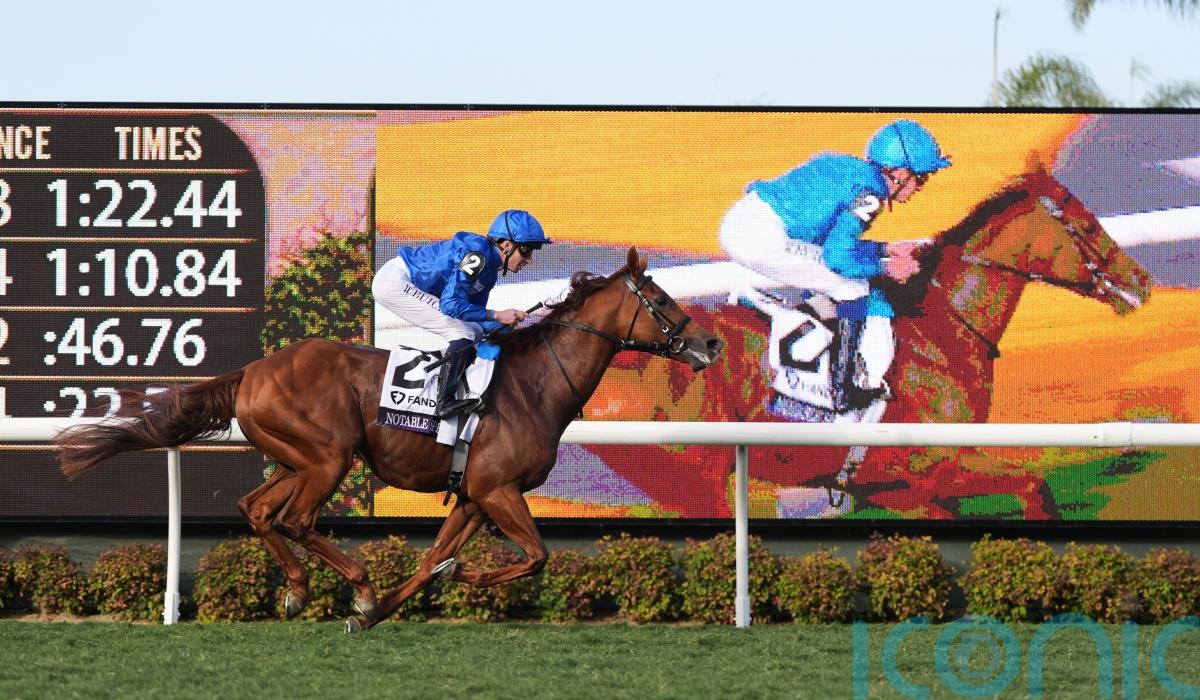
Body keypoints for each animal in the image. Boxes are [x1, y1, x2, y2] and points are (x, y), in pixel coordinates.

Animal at [55, 247, 723, 629]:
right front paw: (437, 584)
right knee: (295, 520)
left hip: (297, 460)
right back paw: (355, 585)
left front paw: (388, 608)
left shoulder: (475, 495)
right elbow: (534, 556)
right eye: (660, 299)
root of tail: (254, 369)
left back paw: (300, 591)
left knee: (258, 510)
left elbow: (431, 560)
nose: (710, 343)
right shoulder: (498, 488)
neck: (535, 384)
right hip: (328, 457)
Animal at [585, 167, 1151, 519]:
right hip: (694, 478)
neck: (939, 328)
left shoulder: (900, 487)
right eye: (1086, 227)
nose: (1142, 282)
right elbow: (1034, 488)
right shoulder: (932, 472)